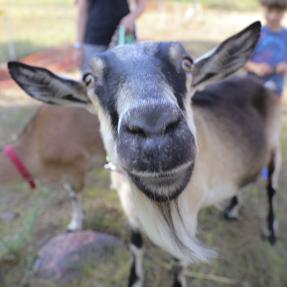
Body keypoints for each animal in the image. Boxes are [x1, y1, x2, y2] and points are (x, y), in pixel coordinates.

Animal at [6, 22, 282, 287]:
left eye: (187, 63)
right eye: (89, 79)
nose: (154, 127)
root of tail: (261, 84)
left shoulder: (189, 214)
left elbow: (178, 257)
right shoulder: (129, 209)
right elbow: (136, 245)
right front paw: (134, 279)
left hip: (276, 148)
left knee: (271, 188)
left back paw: (270, 232)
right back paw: (232, 210)